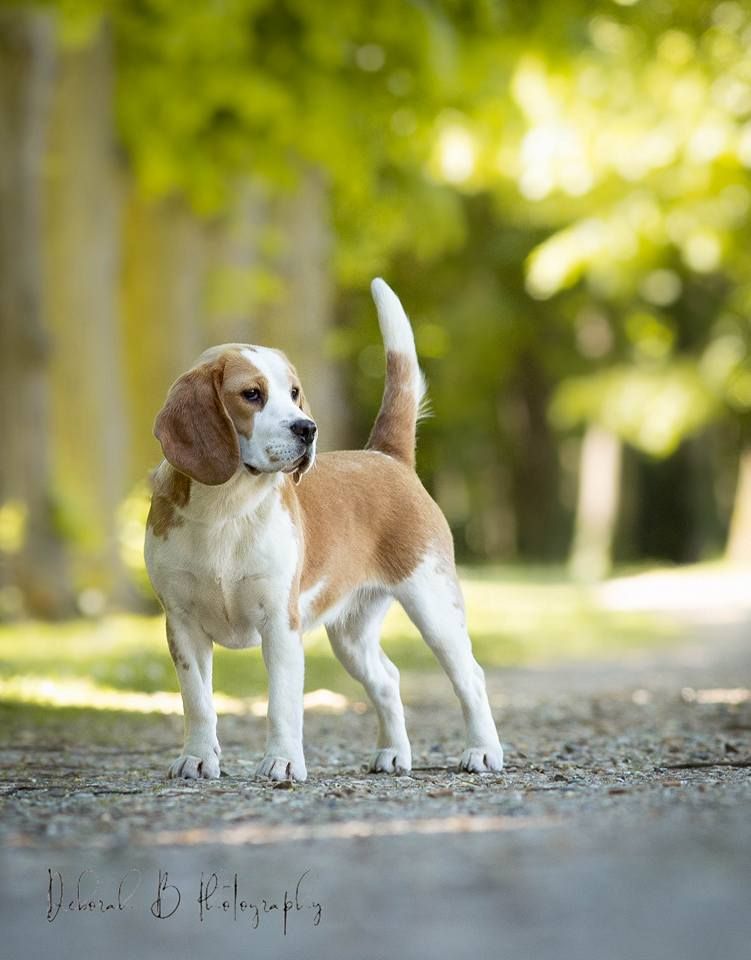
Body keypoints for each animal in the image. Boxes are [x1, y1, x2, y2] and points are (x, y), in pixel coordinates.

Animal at [144, 280, 502, 780]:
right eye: (251, 394)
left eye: (294, 392)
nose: (307, 428)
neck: (226, 509)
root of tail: (386, 456)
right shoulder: (182, 624)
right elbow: (198, 702)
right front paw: (197, 757)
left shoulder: (280, 623)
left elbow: (282, 704)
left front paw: (281, 762)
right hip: (352, 635)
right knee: (387, 679)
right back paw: (393, 753)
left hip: (434, 605)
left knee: (470, 676)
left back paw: (483, 751)